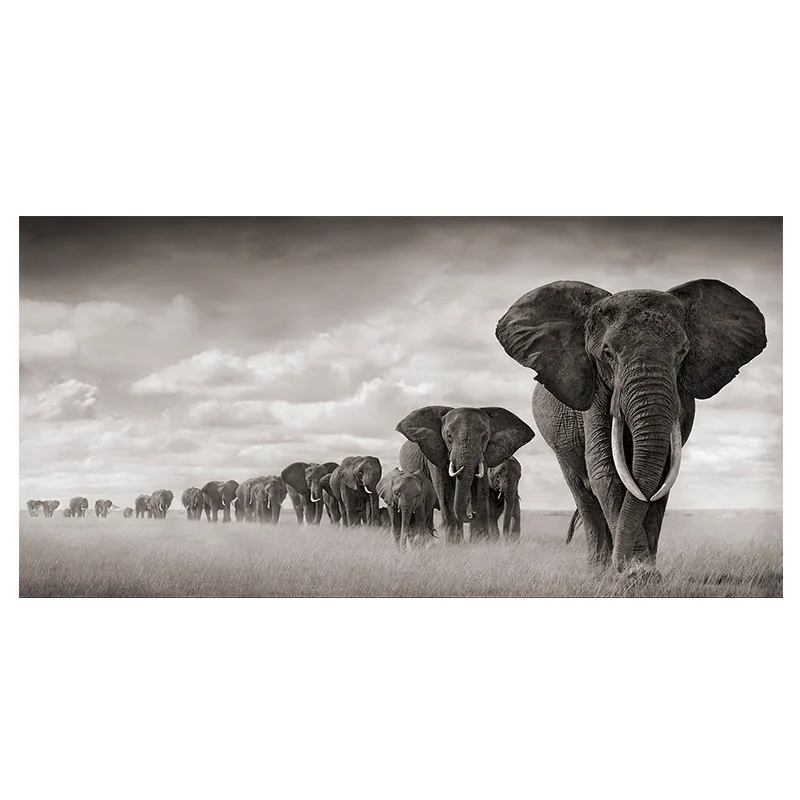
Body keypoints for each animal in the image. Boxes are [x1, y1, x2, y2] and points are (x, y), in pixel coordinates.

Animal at [396, 407, 534, 543]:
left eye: (485, 437)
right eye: (449, 436)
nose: (471, 514)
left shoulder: (484, 455)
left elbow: (480, 492)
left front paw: (480, 542)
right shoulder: (435, 452)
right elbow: (446, 493)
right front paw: (455, 544)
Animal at [495, 278, 767, 578]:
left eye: (683, 352)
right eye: (607, 353)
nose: (625, 566)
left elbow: (661, 475)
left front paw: (644, 573)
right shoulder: (595, 390)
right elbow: (606, 470)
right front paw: (634, 574)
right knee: (584, 494)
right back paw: (598, 571)